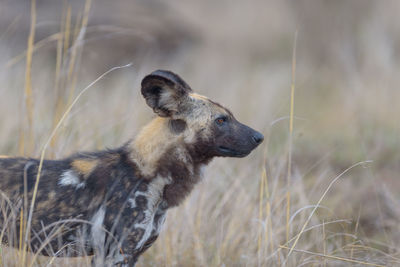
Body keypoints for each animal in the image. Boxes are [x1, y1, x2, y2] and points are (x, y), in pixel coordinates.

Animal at [0, 70, 264, 266]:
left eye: (230, 116)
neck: (148, 175)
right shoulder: (114, 254)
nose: (259, 137)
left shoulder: (132, 254)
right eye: (221, 120)